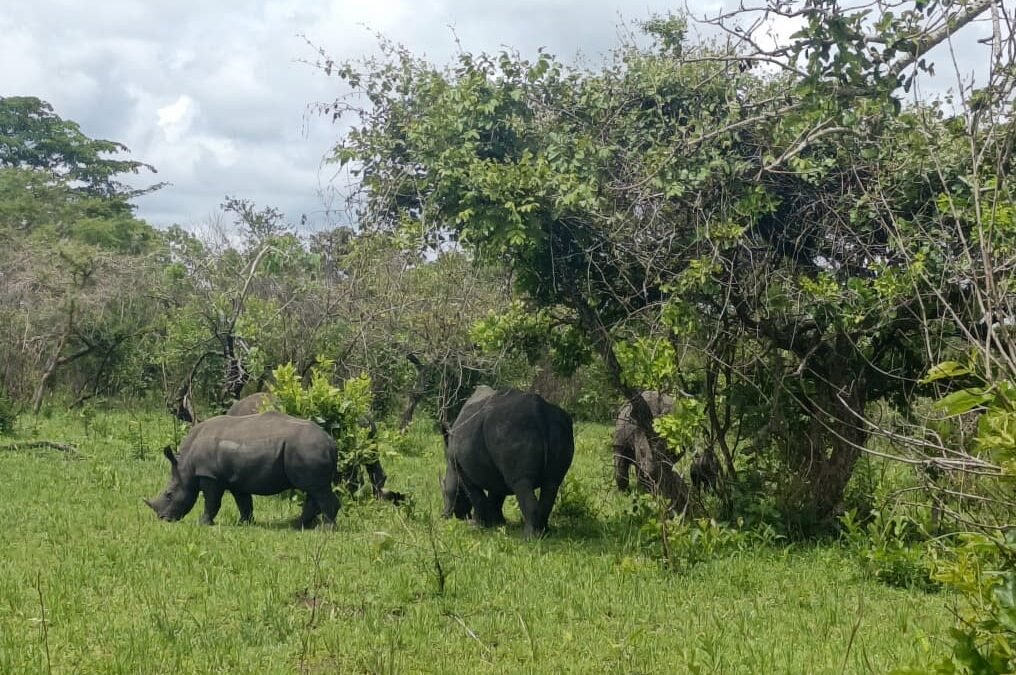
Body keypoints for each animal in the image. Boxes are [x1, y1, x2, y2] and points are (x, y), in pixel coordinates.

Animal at [145, 412, 341, 527]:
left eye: (169, 494)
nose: (163, 519)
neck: (185, 465)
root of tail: (331, 442)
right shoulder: (236, 480)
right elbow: (244, 503)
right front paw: (244, 523)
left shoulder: (210, 475)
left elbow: (212, 502)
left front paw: (204, 524)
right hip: (308, 449)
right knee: (313, 489)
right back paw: (297, 525)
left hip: (308, 448)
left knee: (317, 489)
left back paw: (325, 529)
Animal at [442, 386, 574, 538]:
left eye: (444, 489)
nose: (444, 515)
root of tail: (539, 410)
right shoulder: (495, 468)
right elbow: (497, 495)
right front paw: (497, 524)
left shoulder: (460, 468)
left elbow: (476, 496)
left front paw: (476, 525)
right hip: (559, 427)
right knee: (552, 482)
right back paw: (544, 533)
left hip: (511, 429)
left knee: (521, 483)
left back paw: (529, 538)